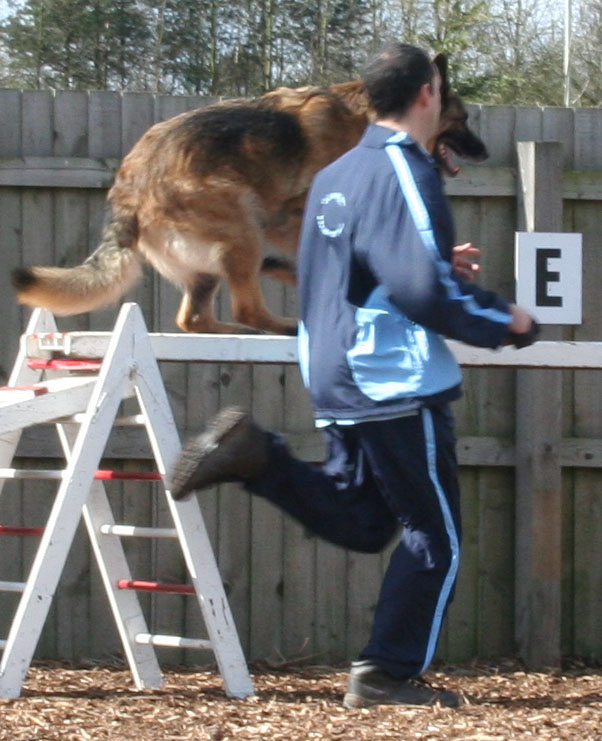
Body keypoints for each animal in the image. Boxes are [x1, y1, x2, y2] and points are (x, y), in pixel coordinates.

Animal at [11, 56, 486, 334]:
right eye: (463, 119)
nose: (484, 152)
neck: (370, 117)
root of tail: (128, 189)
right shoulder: (295, 214)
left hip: (220, 256)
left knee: (193, 319)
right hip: (242, 224)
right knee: (244, 308)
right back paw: (280, 327)